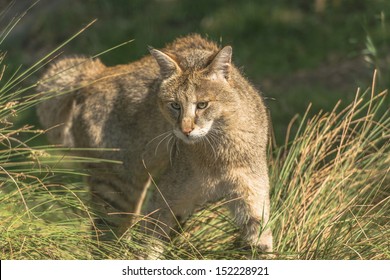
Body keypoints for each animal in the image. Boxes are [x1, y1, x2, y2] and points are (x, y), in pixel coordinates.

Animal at [38, 34, 272, 260]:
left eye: (202, 105)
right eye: (174, 105)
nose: (185, 130)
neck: (219, 150)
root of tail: (96, 74)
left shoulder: (253, 199)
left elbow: (262, 247)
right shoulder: (165, 201)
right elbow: (146, 248)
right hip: (118, 192)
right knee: (102, 243)